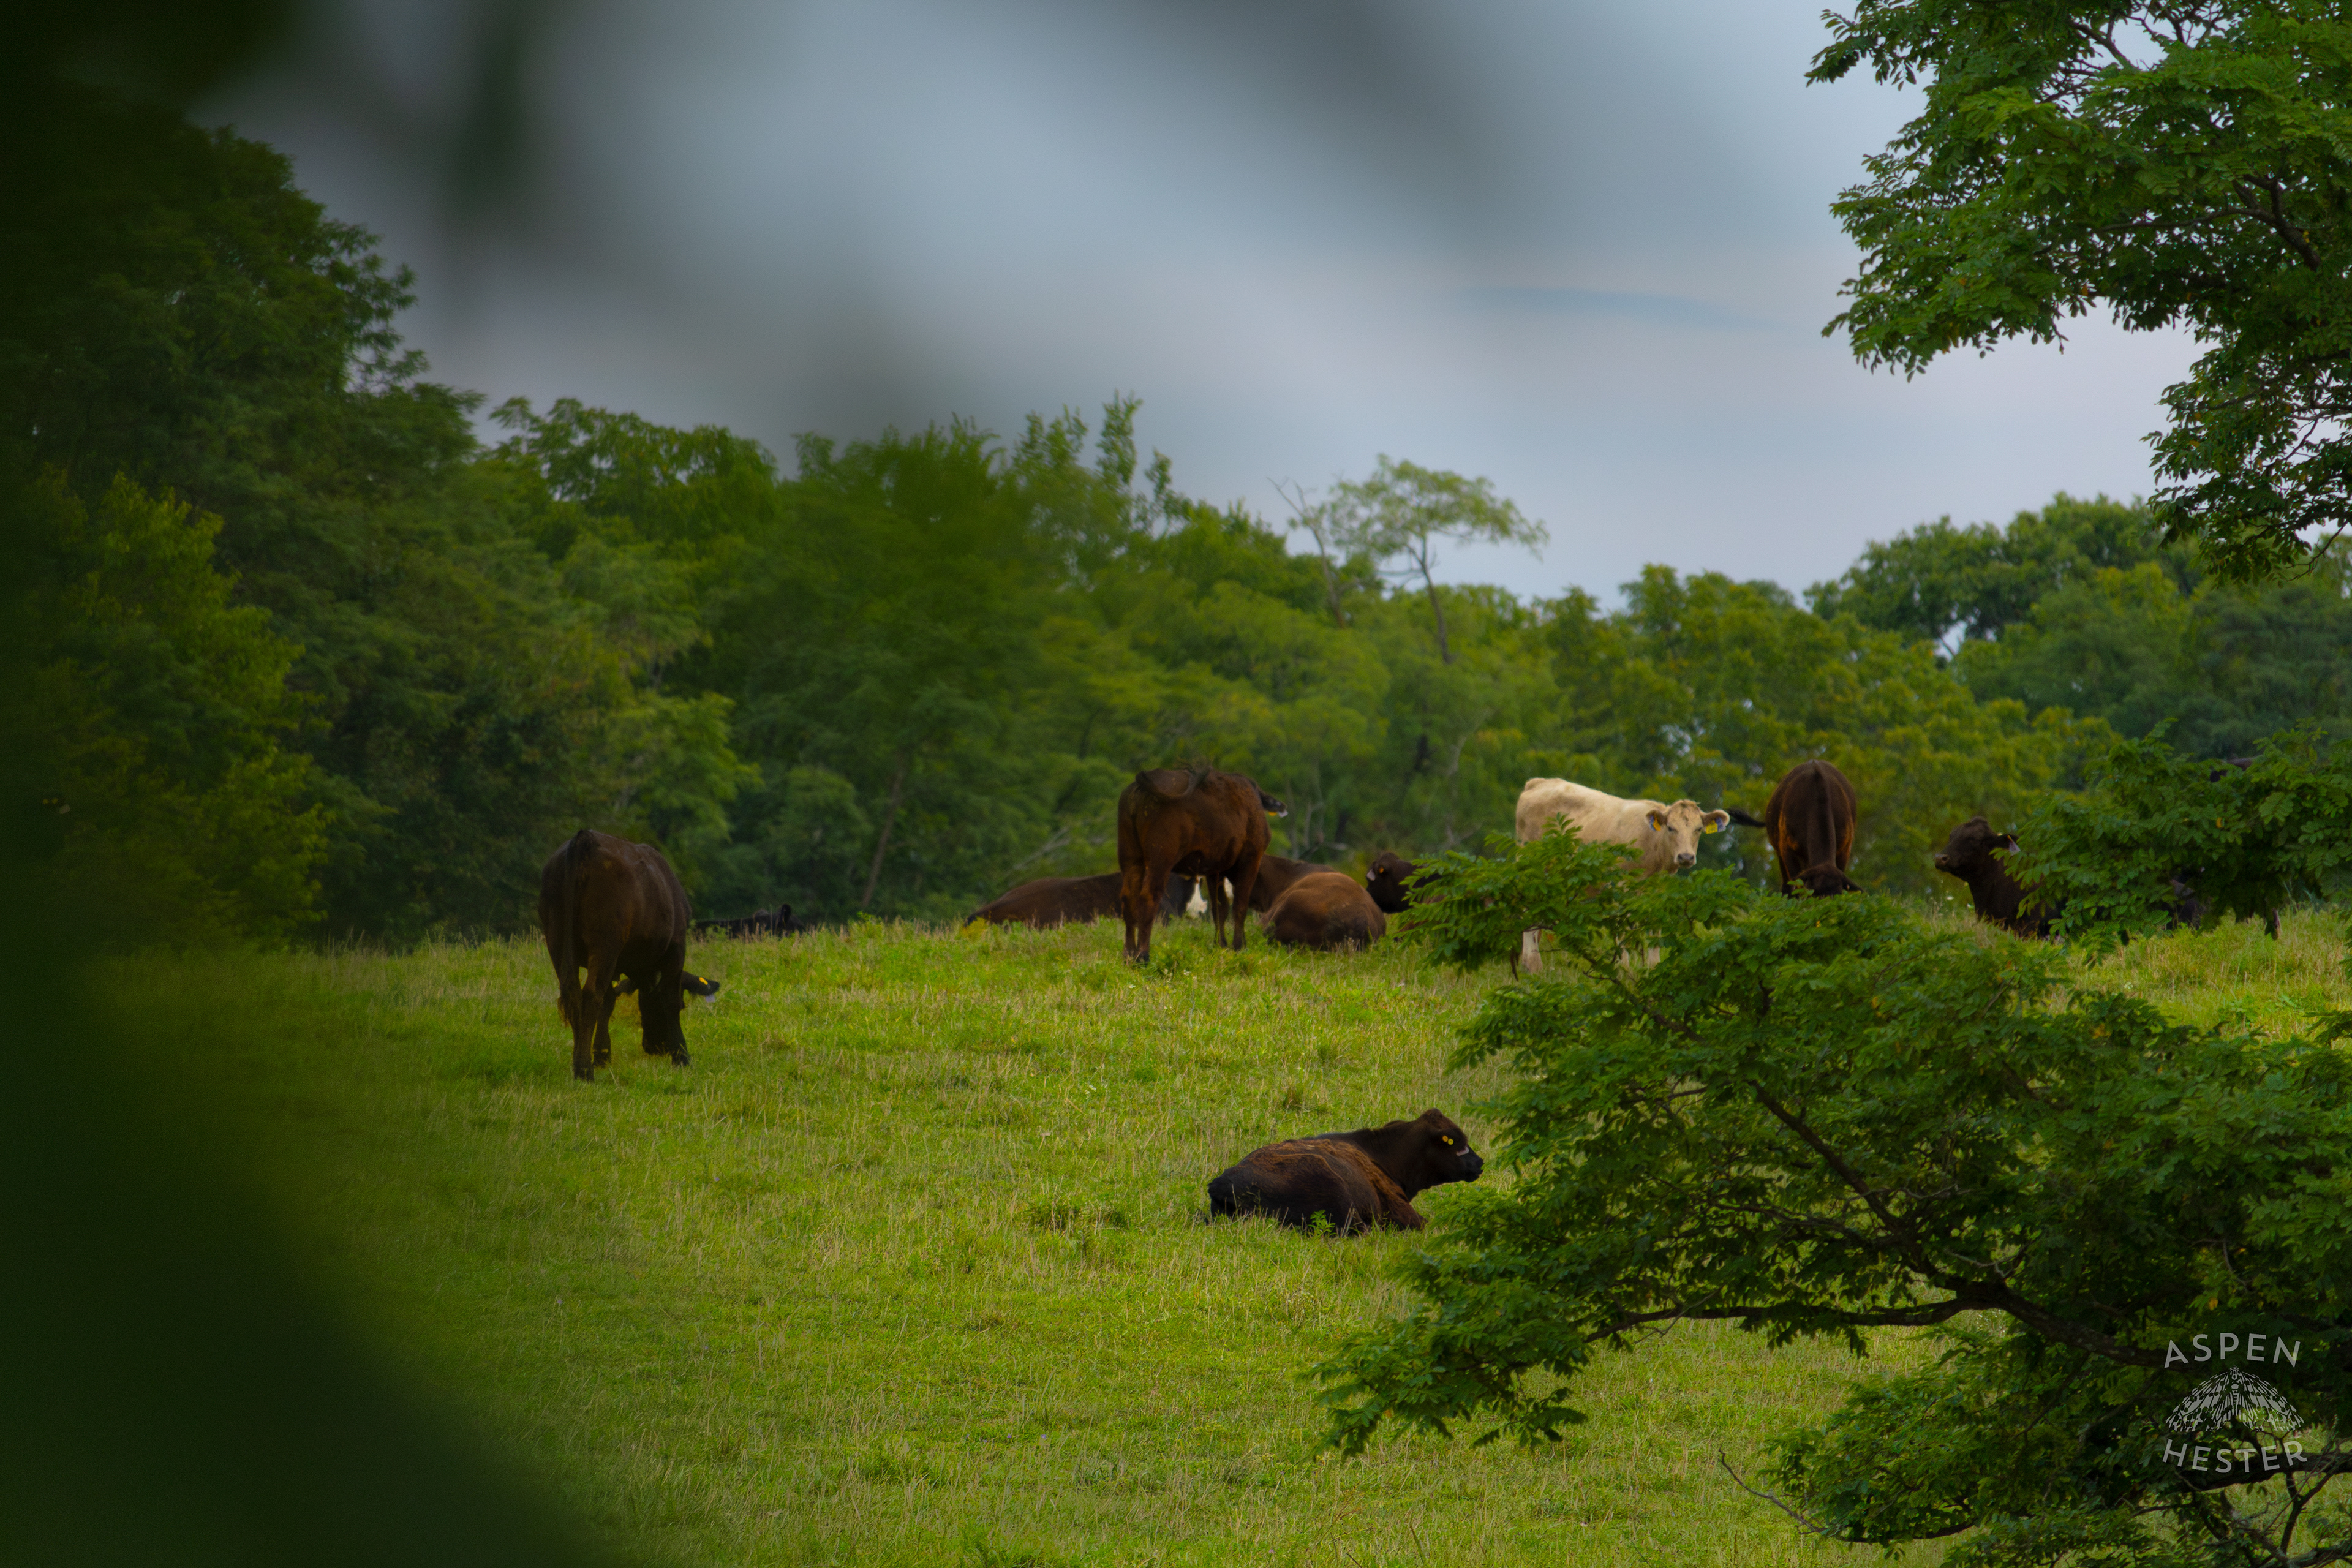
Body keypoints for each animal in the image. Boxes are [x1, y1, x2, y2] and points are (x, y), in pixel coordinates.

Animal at [539, 829, 717, 1082]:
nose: (656, 1048)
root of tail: (585, 837)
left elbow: (609, 1001)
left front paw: (602, 1055)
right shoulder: (676, 949)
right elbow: (670, 999)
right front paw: (682, 1057)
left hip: (557, 940)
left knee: (574, 993)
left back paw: (579, 1064)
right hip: (605, 941)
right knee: (591, 995)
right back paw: (584, 1070)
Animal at [1117, 767, 1282, 962]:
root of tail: (1141, 786)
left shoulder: (1214, 869)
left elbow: (1219, 907)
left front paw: (1221, 944)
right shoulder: (1251, 859)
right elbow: (1240, 905)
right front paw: (1239, 946)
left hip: (1131, 857)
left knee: (1129, 896)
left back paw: (1129, 953)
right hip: (1160, 861)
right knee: (1149, 896)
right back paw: (1143, 955)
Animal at [1514, 779, 1732, 969]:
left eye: (1699, 829)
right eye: (1671, 828)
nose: (1686, 857)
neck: (1653, 844)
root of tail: (1538, 782)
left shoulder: (1658, 891)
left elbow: (1655, 932)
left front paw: (1653, 967)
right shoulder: (1621, 887)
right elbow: (1624, 931)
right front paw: (1624, 969)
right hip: (1532, 867)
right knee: (1527, 911)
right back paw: (1533, 965)